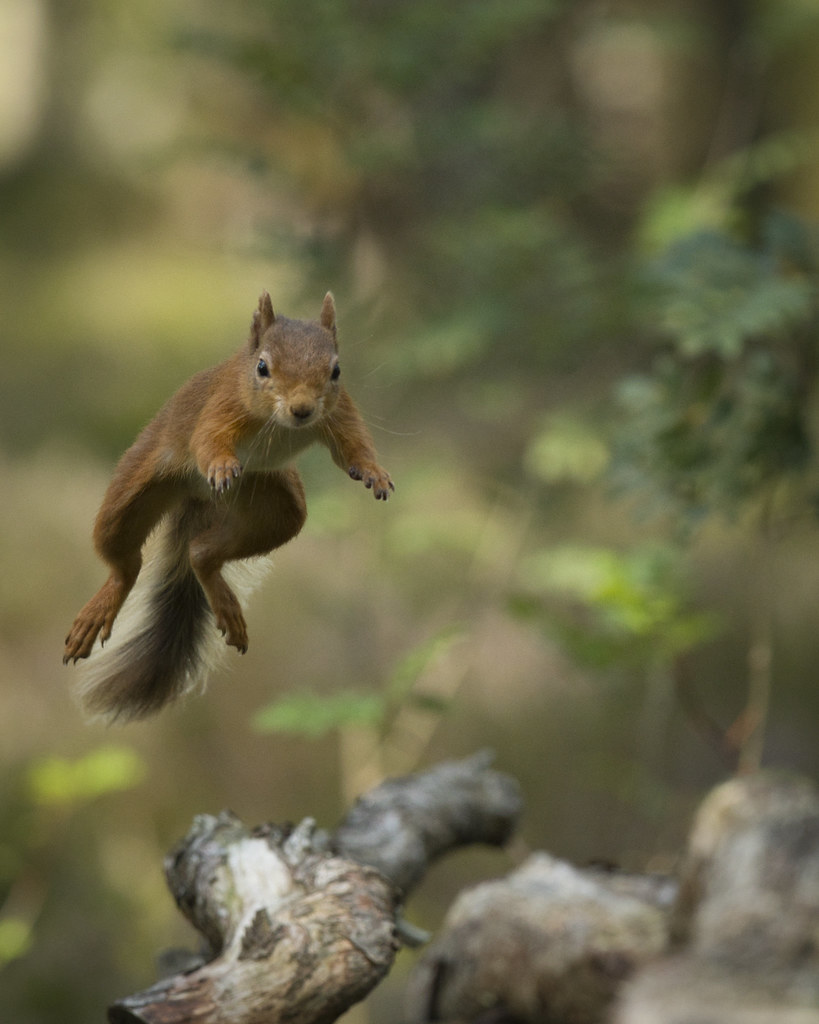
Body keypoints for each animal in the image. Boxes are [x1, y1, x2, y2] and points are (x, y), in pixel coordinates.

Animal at [63, 291, 393, 722]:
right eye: (262, 367)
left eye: (336, 370)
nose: (303, 409)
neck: (280, 425)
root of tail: (199, 494)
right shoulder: (222, 406)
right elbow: (209, 439)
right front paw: (220, 464)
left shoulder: (339, 413)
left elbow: (355, 444)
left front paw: (374, 472)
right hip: (131, 491)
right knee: (124, 562)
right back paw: (100, 608)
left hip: (277, 509)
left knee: (201, 553)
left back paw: (221, 597)